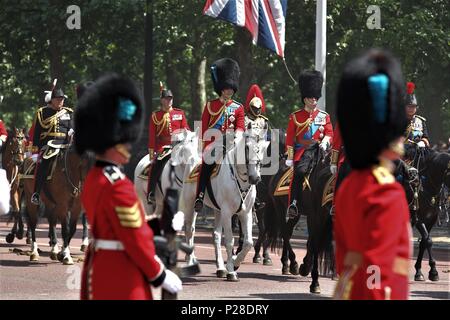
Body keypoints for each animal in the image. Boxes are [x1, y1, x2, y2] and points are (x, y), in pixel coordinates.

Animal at [179, 126, 270, 282]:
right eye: (247, 147)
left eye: (262, 148)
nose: (255, 178)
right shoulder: (228, 213)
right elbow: (229, 241)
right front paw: (232, 271)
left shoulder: (246, 213)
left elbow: (248, 242)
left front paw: (235, 262)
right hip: (191, 205)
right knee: (190, 230)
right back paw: (190, 261)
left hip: (218, 211)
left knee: (215, 235)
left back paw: (220, 268)